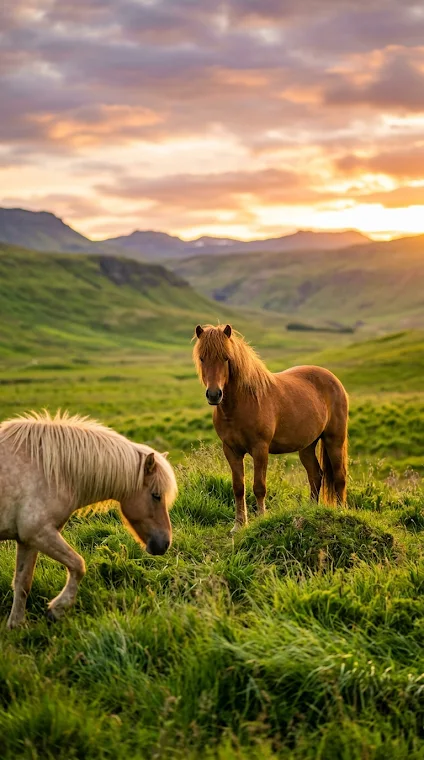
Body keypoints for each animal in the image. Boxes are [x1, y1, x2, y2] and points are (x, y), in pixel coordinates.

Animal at [0, 410, 178, 628]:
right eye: (156, 495)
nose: (165, 543)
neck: (52, 471)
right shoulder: (39, 533)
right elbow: (78, 565)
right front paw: (57, 609)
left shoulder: (27, 540)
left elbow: (22, 582)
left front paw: (15, 625)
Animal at [193, 324, 348, 533]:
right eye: (202, 358)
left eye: (226, 357)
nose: (214, 394)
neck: (243, 403)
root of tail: (333, 379)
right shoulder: (231, 450)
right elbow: (238, 487)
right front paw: (239, 525)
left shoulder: (260, 449)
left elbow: (259, 486)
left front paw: (260, 519)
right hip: (307, 446)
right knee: (315, 475)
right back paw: (311, 509)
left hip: (334, 440)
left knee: (339, 476)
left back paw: (340, 512)